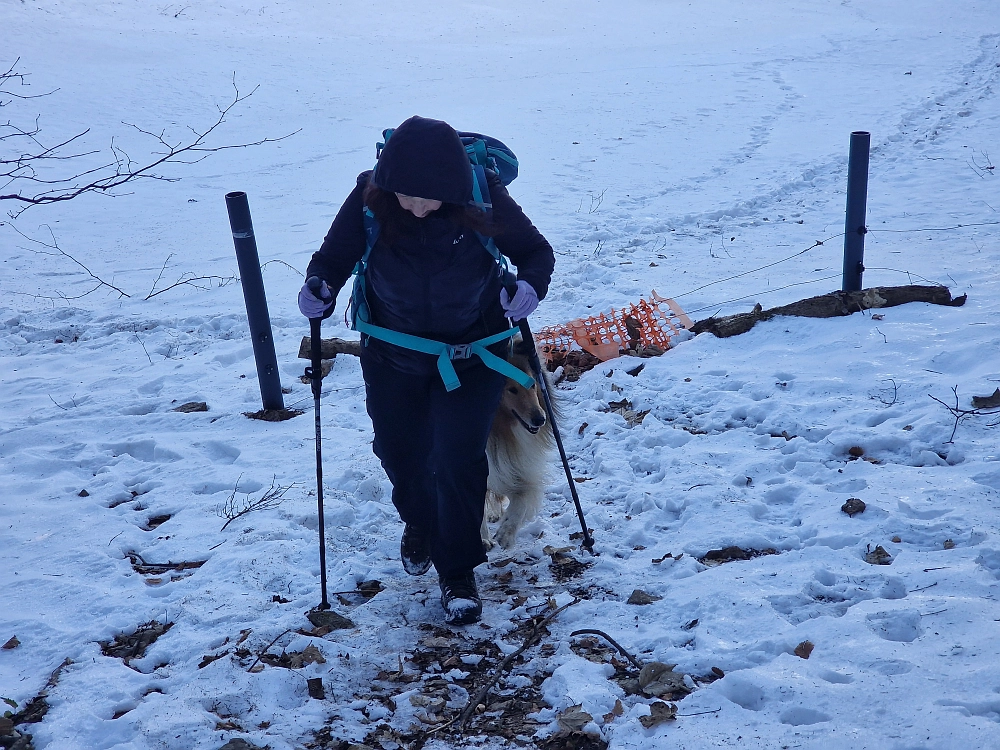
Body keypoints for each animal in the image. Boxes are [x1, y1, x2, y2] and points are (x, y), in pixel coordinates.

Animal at [482, 338, 560, 548]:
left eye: (532, 385)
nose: (540, 420)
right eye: (511, 389)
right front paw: (483, 538)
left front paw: (506, 533)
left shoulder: (516, 469)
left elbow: (522, 501)